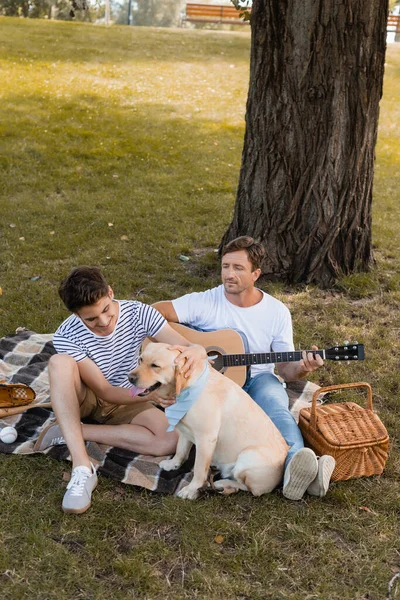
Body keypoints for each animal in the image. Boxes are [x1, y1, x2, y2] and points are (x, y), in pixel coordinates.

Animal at [130, 342, 290, 502]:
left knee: (248, 488)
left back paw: (223, 483)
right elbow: (180, 450)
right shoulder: (185, 431)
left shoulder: (205, 438)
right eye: (140, 359)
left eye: (155, 366)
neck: (186, 388)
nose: (130, 377)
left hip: (247, 458)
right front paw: (173, 464)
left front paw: (192, 490)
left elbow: (199, 469)